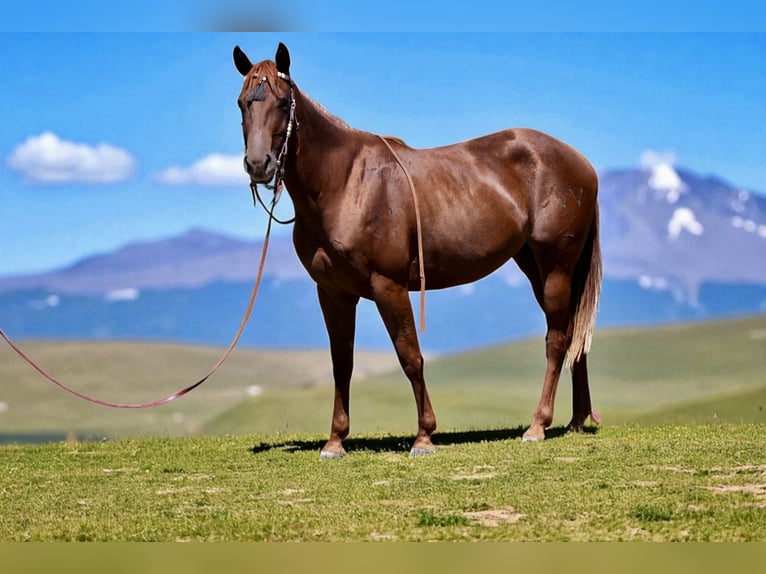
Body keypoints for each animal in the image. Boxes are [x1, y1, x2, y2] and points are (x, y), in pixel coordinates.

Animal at [233, 43, 602, 458]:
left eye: (282, 103)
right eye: (242, 103)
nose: (258, 164)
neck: (345, 184)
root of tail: (582, 164)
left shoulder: (388, 286)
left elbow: (410, 356)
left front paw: (424, 437)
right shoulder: (333, 293)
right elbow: (342, 363)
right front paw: (335, 440)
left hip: (555, 265)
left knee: (557, 339)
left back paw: (538, 425)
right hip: (536, 266)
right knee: (573, 333)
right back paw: (576, 420)